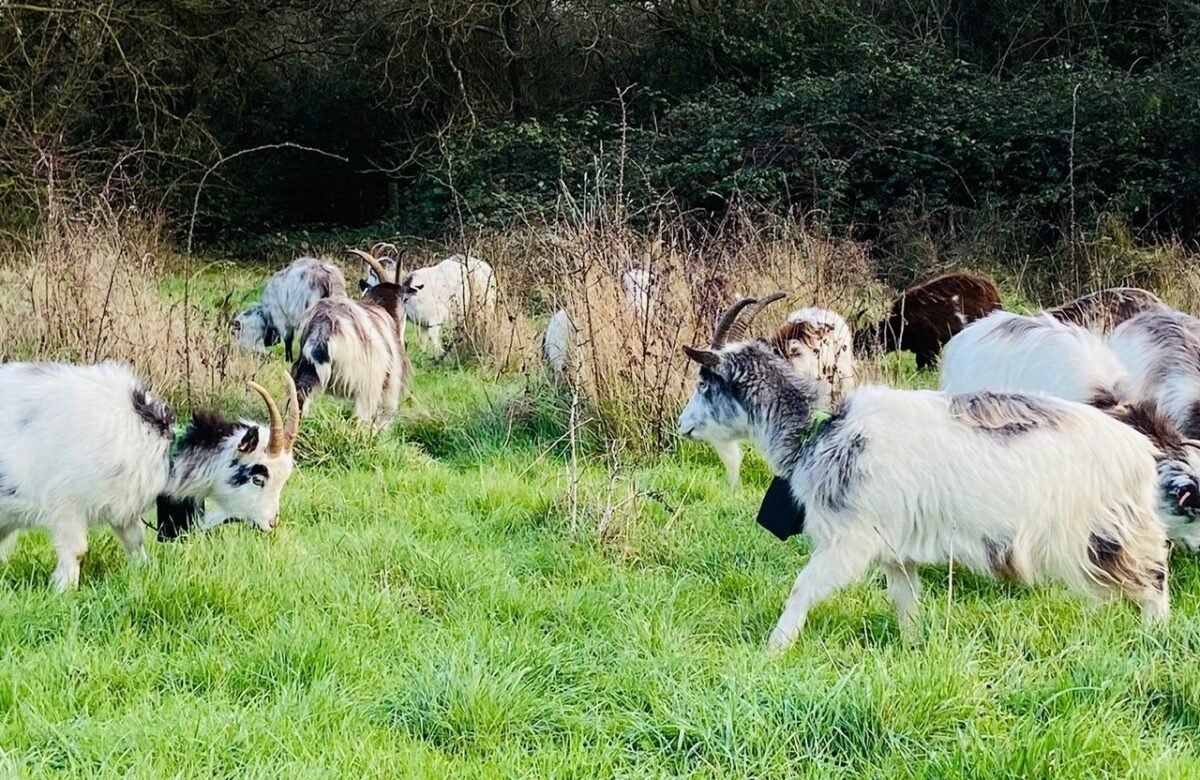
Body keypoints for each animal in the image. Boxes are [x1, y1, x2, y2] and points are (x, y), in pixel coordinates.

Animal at [0, 362, 299, 590]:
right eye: (259, 478)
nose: (272, 523)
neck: (152, 442)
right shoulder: (68, 506)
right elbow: (76, 552)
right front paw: (64, 592)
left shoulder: (123, 510)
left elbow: (136, 543)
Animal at [292, 251, 412, 428]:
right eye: (406, 300)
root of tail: (324, 327)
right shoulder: (388, 385)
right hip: (366, 384)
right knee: (360, 420)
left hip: (305, 370)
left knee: (299, 400)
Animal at [680, 296, 1170, 654]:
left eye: (705, 382)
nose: (683, 426)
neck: (822, 429)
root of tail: (1140, 451)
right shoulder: (897, 551)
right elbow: (906, 603)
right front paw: (914, 648)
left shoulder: (850, 542)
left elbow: (802, 589)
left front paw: (773, 650)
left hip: (1109, 535)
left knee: (1154, 581)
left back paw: (1154, 641)